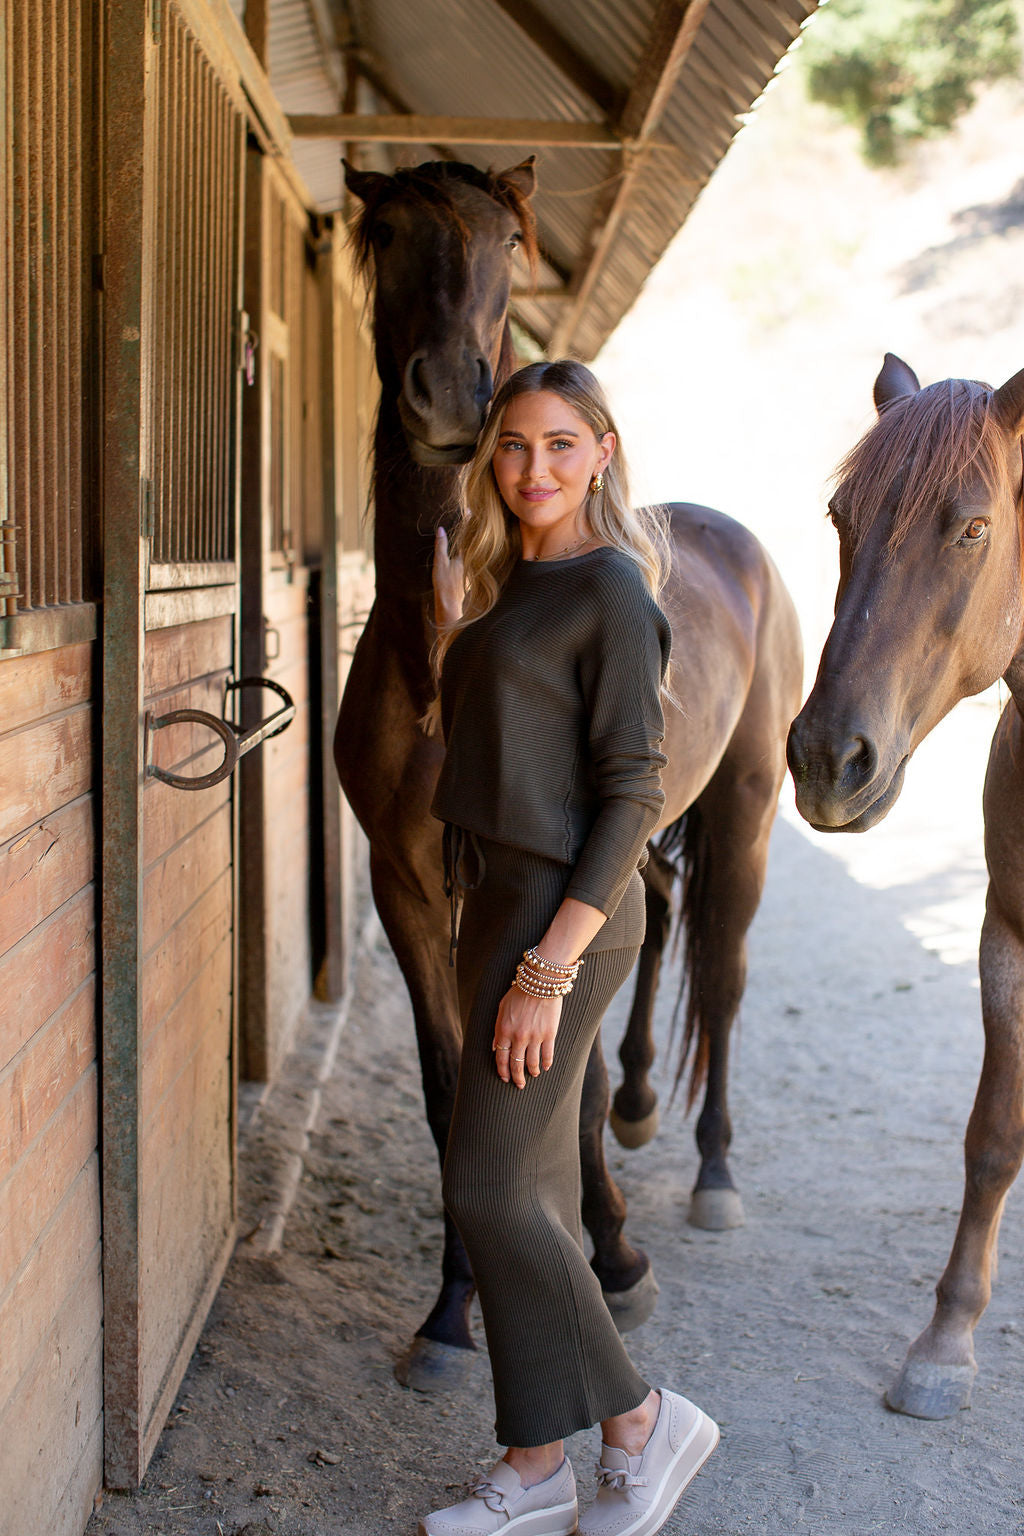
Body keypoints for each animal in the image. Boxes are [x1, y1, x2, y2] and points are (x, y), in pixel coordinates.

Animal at [340, 155, 804, 1394]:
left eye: (507, 239)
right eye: (384, 230)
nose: (450, 398)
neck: (437, 651)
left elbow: (563, 1075)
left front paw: (613, 1256)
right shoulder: (406, 885)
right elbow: (451, 1084)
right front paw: (450, 1312)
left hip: (746, 807)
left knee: (723, 968)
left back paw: (712, 1175)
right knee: (663, 921)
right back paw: (647, 1106)